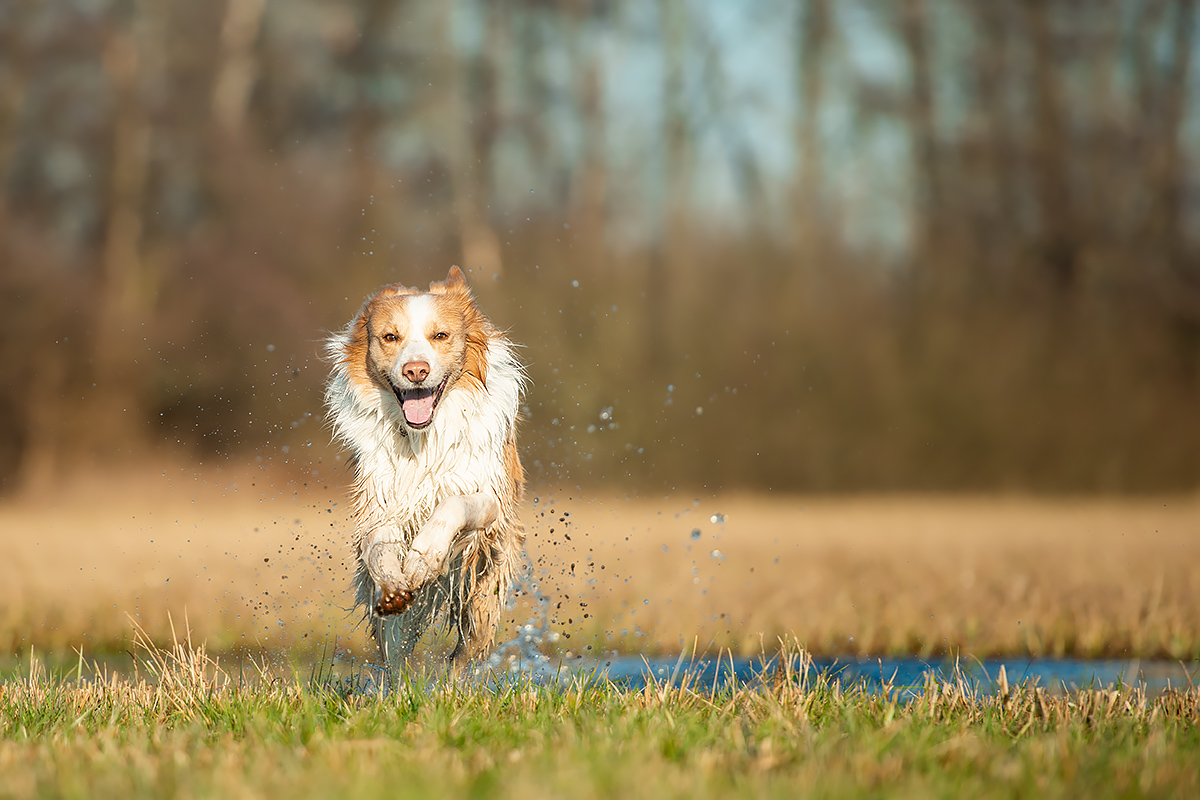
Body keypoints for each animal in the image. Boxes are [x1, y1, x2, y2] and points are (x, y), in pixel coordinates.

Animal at [324, 268, 525, 671]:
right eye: (390, 337)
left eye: (440, 336)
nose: (415, 370)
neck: (423, 439)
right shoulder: (381, 502)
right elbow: (377, 546)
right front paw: (393, 579)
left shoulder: (490, 499)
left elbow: (452, 505)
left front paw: (423, 557)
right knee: (396, 659)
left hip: (481, 596)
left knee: (463, 658)